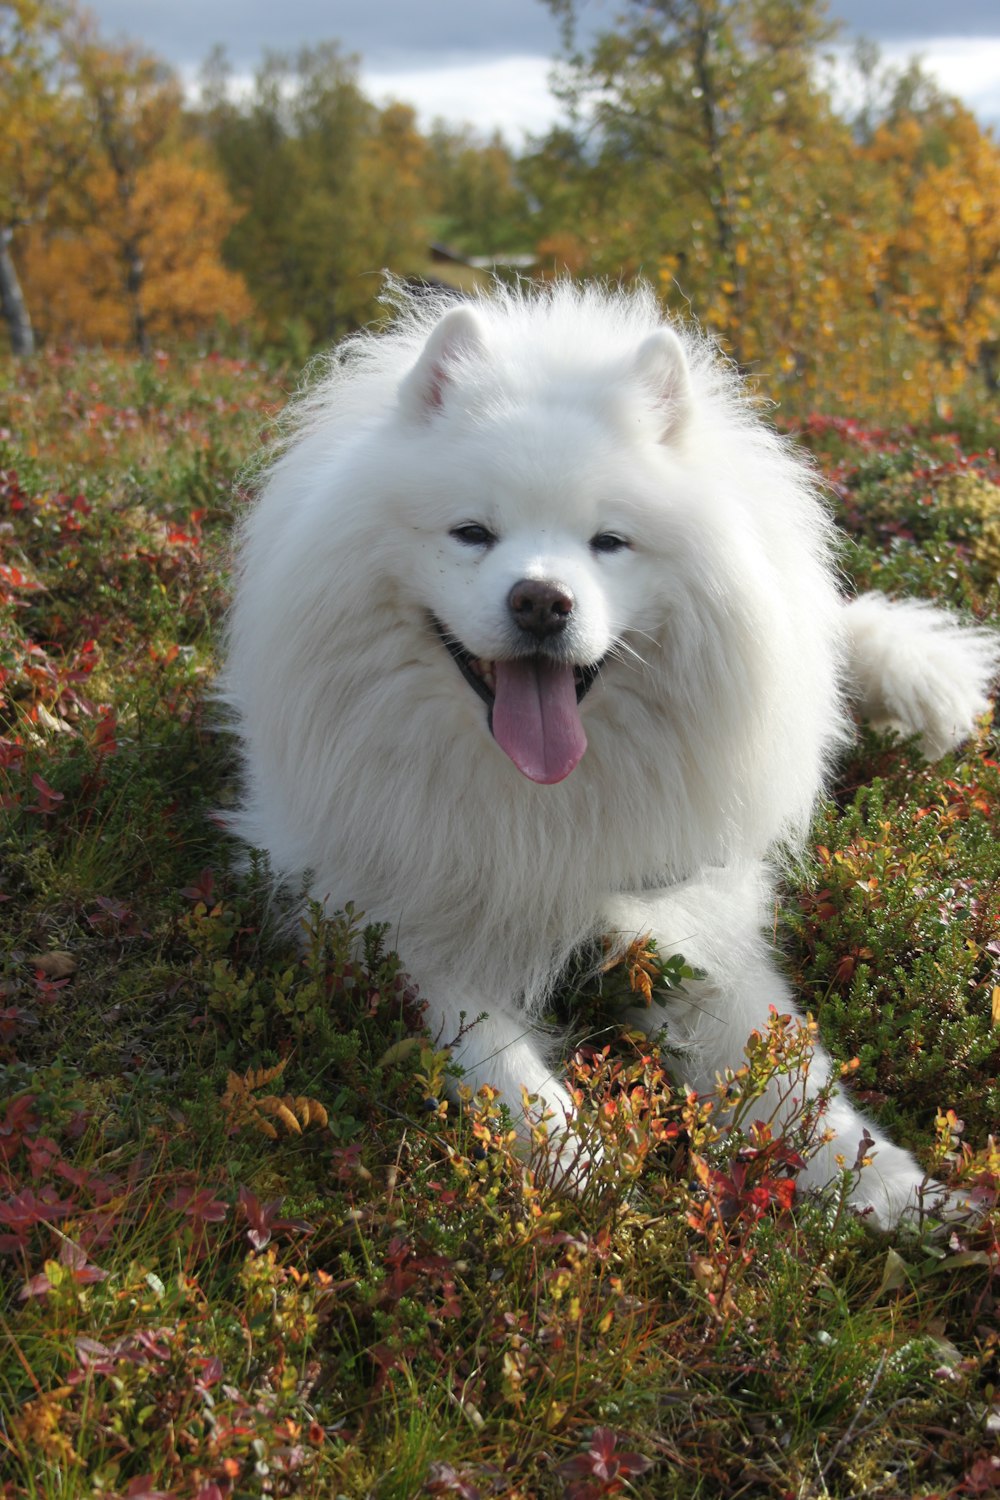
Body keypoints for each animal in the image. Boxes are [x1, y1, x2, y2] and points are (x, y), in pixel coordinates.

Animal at [220, 279, 1000, 1218]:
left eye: (609, 542)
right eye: (472, 533)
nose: (541, 601)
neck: (538, 802)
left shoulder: (686, 915)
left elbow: (790, 1077)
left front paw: (900, 1194)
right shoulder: (384, 908)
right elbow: (483, 1043)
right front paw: (570, 1150)